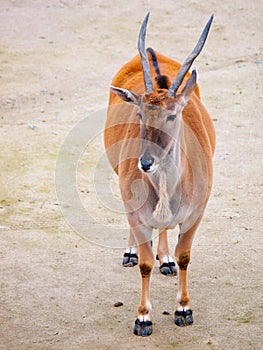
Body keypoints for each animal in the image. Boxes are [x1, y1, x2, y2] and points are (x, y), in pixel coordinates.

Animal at [103, 13, 217, 336]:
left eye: (172, 115)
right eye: (141, 113)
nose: (145, 162)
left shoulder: (196, 214)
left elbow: (184, 256)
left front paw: (184, 310)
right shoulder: (137, 213)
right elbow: (144, 264)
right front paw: (143, 318)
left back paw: (165, 258)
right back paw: (131, 252)